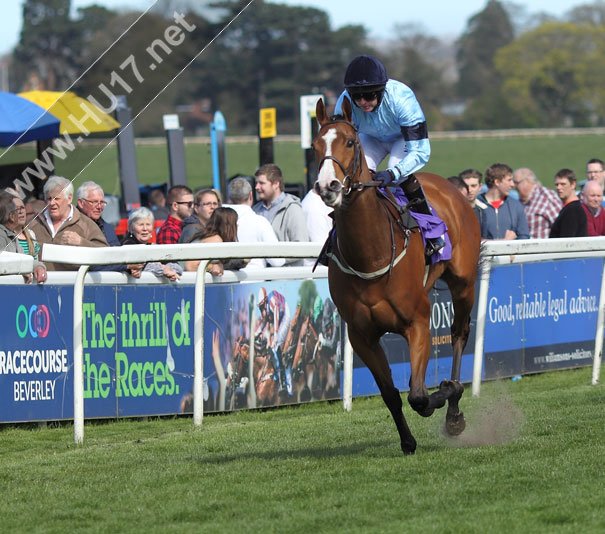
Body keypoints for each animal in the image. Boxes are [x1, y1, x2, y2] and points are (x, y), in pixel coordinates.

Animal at [312, 97, 482, 456]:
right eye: (316, 145)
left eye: (350, 142)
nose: (327, 186)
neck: (370, 253)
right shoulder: (361, 336)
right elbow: (391, 394)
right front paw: (407, 441)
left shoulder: (417, 322)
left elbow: (418, 395)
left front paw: (445, 392)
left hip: (464, 284)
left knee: (459, 333)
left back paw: (454, 408)